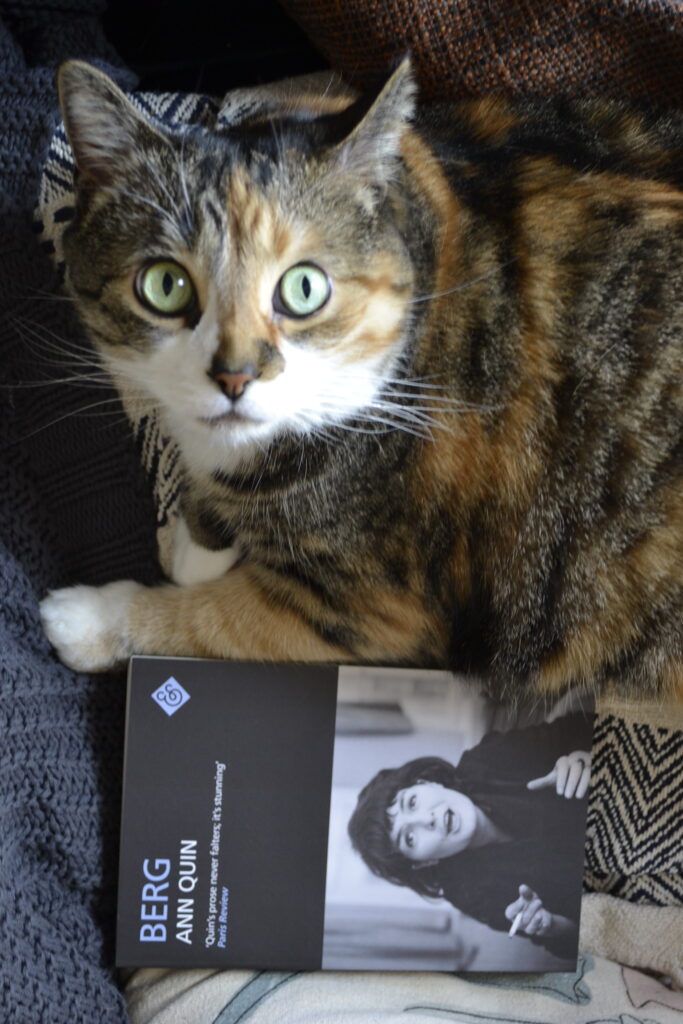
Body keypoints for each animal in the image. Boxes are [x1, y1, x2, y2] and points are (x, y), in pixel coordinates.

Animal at [40, 54, 683, 696]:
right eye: (165, 285)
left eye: (304, 288)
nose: (235, 376)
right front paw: (195, 542)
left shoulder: (374, 614)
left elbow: (209, 622)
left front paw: (90, 619)